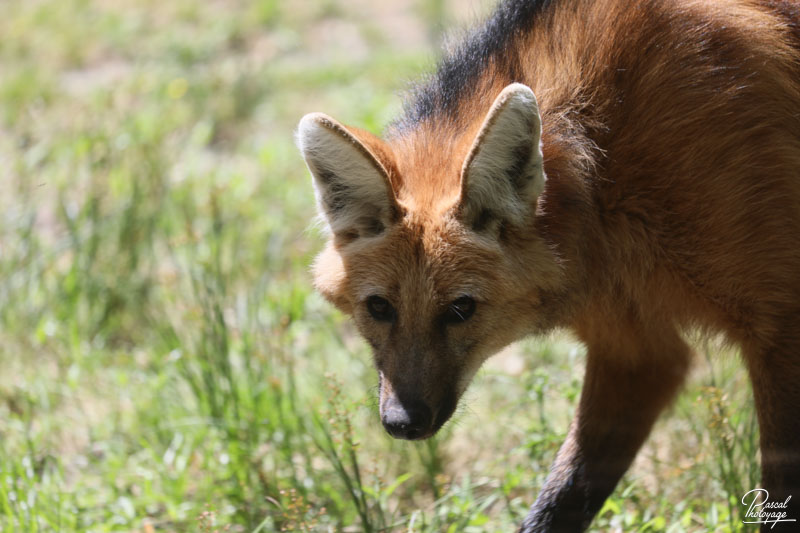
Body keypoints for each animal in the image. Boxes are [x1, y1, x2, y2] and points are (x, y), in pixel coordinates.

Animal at [298, 0, 800, 528]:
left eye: (460, 309)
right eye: (379, 307)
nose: (403, 423)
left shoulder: (783, 329)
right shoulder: (632, 347)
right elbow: (561, 498)